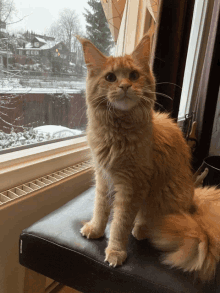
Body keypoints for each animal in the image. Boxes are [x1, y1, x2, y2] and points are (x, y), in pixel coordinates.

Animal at [76, 30, 220, 280]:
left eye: (133, 75)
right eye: (110, 78)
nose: (125, 86)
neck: (116, 134)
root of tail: (193, 201)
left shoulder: (132, 185)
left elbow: (120, 223)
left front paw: (115, 251)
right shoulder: (103, 177)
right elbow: (101, 208)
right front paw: (96, 228)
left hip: (166, 196)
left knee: (152, 221)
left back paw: (142, 229)